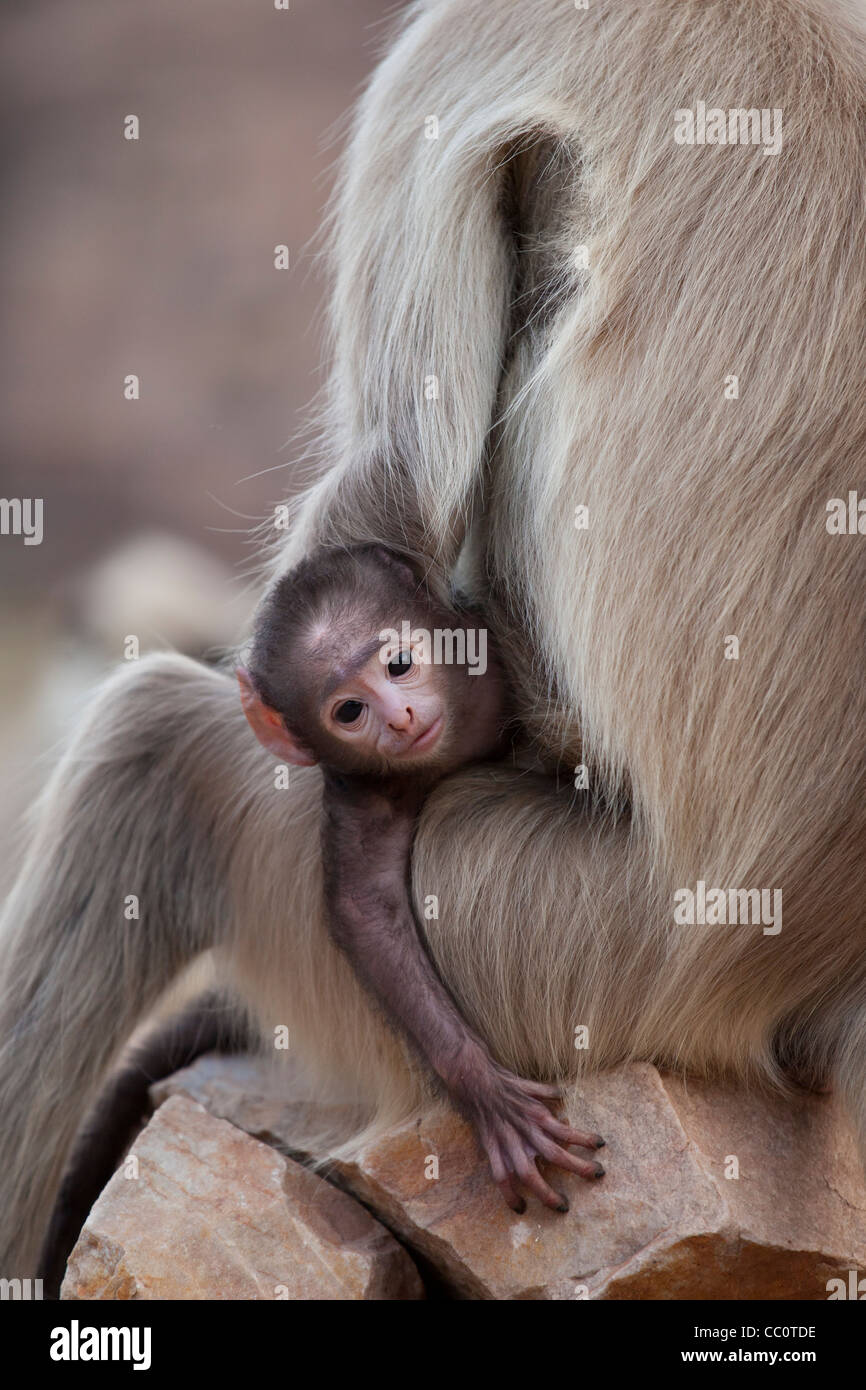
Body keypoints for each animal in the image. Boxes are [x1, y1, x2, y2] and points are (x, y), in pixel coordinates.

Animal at [234, 544, 603, 1217]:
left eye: (399, 665)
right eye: (350, 711)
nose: (400, 719)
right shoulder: (365, 792)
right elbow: (365, 912)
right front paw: (482, 1089)